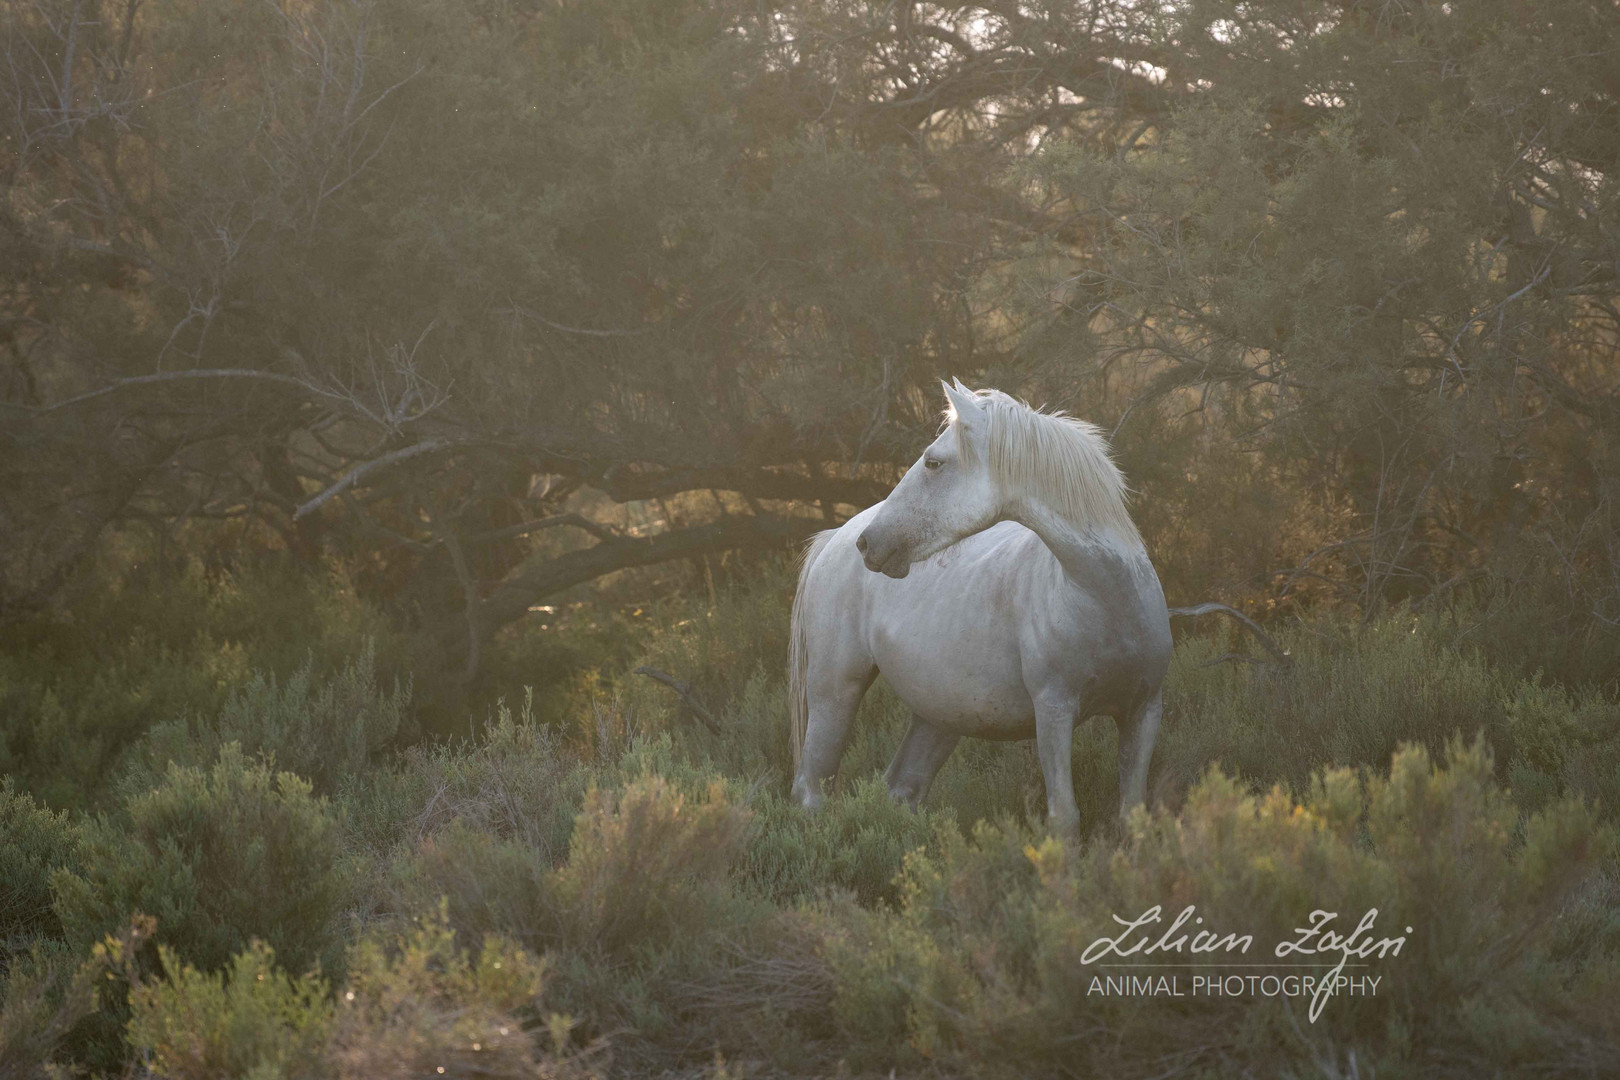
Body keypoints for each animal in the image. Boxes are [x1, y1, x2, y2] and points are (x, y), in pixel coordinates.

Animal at [784, 383, 1166, 835]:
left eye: (933, 462)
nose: (869, 543)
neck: (1105, 597)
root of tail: (836, 536)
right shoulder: (1053, 712)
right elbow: (1065, 818)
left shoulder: (1143, 711)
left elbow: (1133, 812)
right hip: (835, 692)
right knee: (811, 789)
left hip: (936, 717)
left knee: (901, 788)